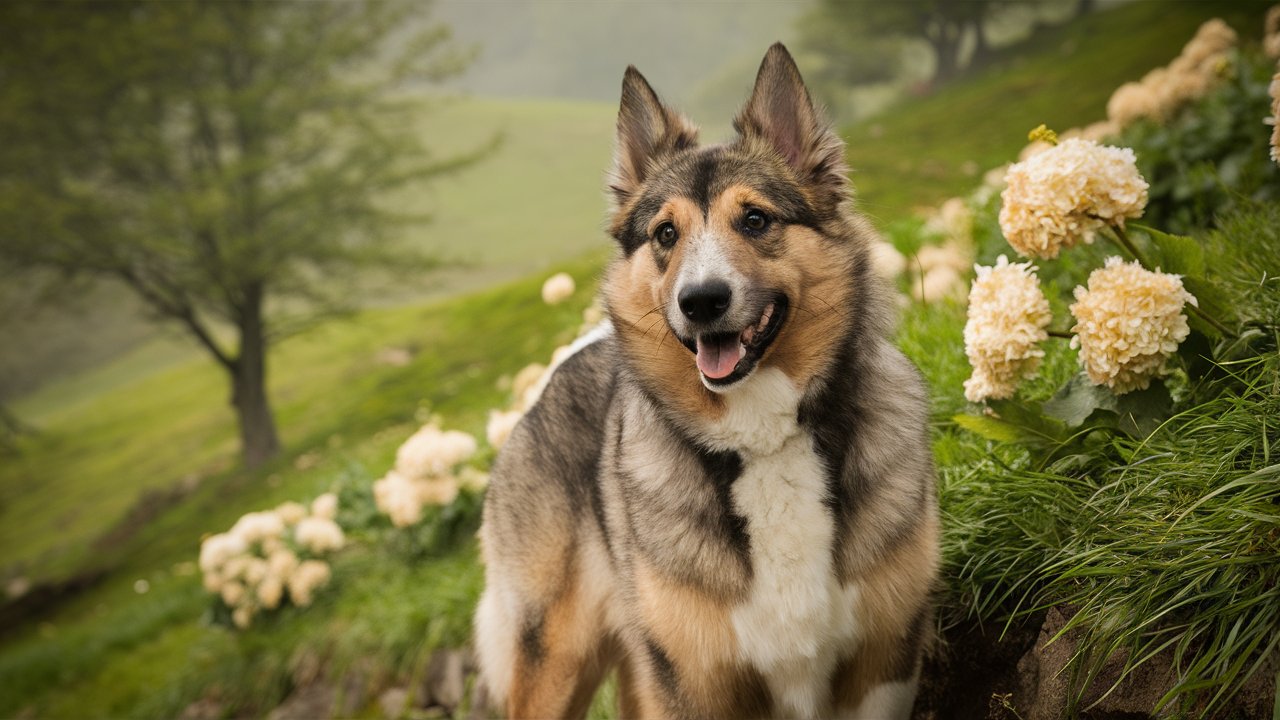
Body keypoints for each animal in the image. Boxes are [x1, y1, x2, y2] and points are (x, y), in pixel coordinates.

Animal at [476, 44, 936, 717]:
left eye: (755, 219)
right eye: (666, 233)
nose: (701, 302)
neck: (763, 441)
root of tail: (553, 376)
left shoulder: (884, 661)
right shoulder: (696, 679)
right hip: (556, 657)